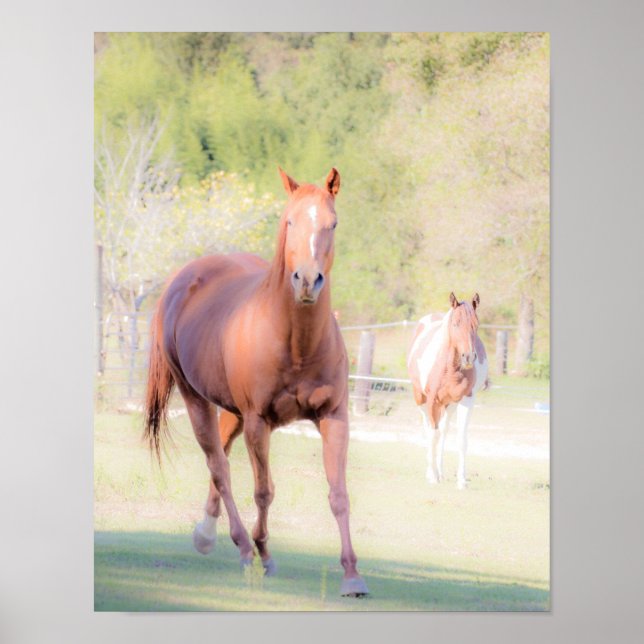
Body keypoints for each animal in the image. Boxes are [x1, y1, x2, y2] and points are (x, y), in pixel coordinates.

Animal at [143, 167, 368, 597]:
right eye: (290, 222)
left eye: (332, 223)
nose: (307, 281)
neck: (296, 343)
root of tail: (182, 280)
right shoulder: (258, 422)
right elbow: (264, 491)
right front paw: (264, 553)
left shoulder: (334, 418)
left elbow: (340, 494)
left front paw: (352, 575)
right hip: (197, 399)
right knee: (219, 466)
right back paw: (242, 547)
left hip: (232, 411)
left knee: (222, 455)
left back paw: (206, 534)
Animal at [407, 292, 489, 489]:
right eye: (456, 323)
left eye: (476, 324)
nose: (469, 357)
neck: (449, 367)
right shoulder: (431, 401)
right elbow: (432, 435)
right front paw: (433, 476)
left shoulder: (466, 400)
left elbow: (461, 440)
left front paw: (461, 481)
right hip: (421, 400)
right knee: (430, 430)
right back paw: (432, 472)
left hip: (450, 405)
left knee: (443, 431)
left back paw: (441, 472)